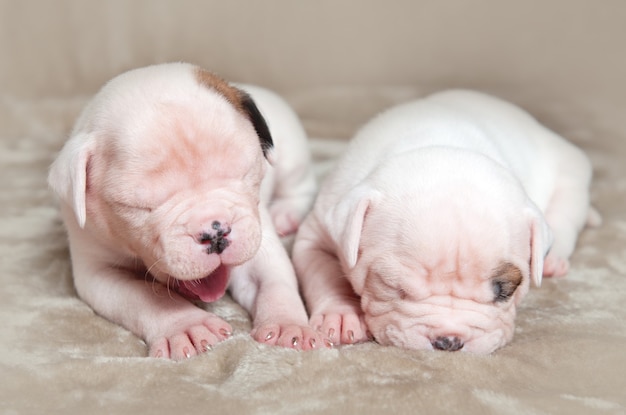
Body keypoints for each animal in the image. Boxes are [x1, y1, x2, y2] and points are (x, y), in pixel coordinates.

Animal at [48, 62, 322, 360]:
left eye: (244, 173)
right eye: (139, 207)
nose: (215, 231)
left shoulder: (256, 235)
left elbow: (274, 278)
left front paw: (287, 325)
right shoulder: (96, 269)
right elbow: (143, 296)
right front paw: (186, 325)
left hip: (292, 158)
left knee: (300, 185)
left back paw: (286, 213)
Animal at [292, 90, 596, 354]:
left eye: (505, 292)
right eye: (393, 286)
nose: (449, 341)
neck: (435, 142)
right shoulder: (316, 233)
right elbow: (323, 273)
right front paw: (340, 314)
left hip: (571, 171)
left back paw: (554, 256)